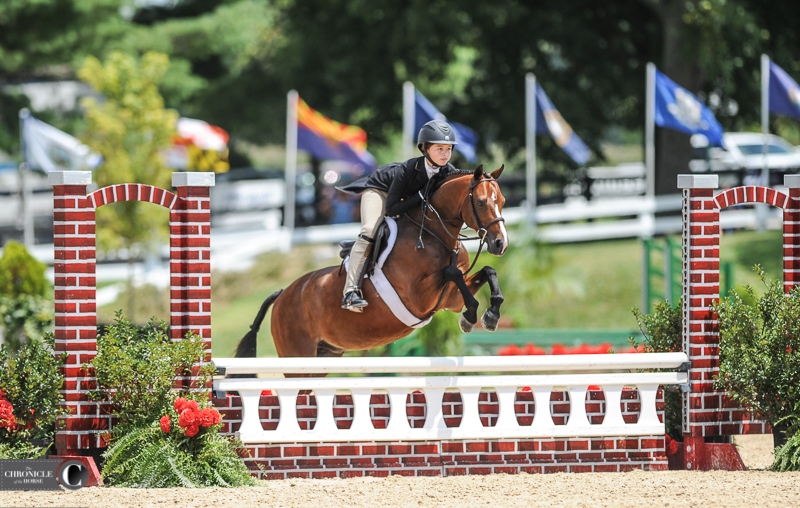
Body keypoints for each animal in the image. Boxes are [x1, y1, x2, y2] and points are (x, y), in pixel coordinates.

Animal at [236, 165, 506, 360]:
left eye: (502, 201)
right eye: (480, 202)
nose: (500, 243)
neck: (434, 233)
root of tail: (282, 294)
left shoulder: (450, 298)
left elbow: (487, 271)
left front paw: (490, 316)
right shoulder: (419, 297)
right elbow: (453, 273)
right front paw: (472, 317)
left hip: (325, 354)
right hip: (297, 355)